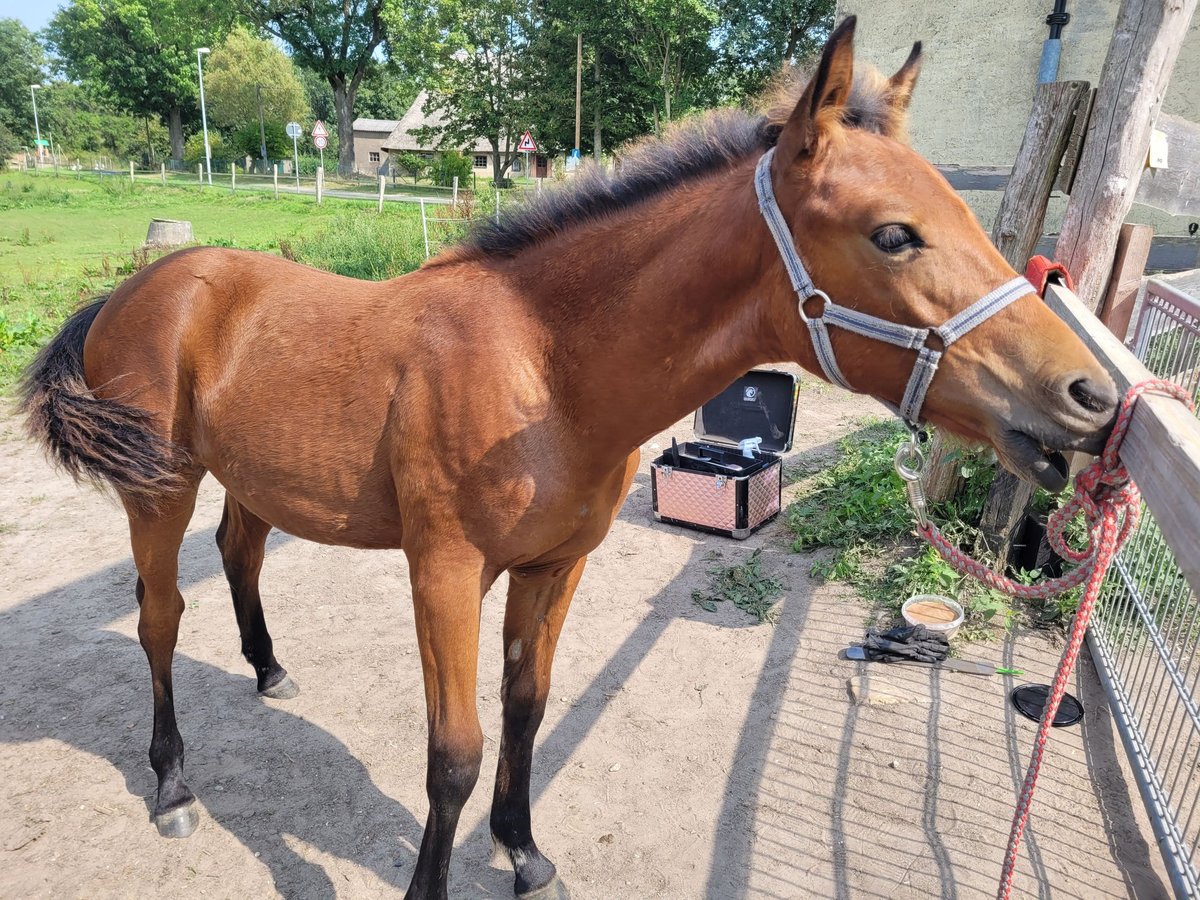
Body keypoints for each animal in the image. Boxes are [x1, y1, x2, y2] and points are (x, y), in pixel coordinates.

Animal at [23, 21, 1118, 900]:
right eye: (894, 234)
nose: (1091, 398)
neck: (540, 365)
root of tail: (145, 284)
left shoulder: (555, 568)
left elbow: (527, 711)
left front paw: (524, 852)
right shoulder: (445, 571)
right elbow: (455, 752)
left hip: (254, 479)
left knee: (240, 556)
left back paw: (270, 671)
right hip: (158, 490)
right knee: (160, 617)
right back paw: (172, 783)